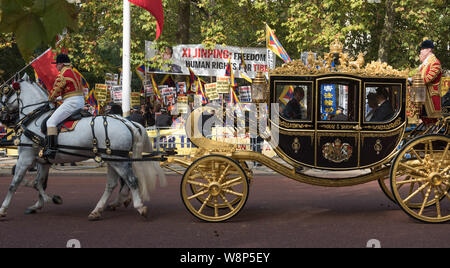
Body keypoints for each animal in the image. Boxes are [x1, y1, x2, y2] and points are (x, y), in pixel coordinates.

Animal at [0, 75, 166, 220]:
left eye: (5, 92)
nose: (2, 118)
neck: (35, 118)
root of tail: (126, 122)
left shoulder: (25, 158)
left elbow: (15, 183)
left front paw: (3, 209)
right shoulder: (42, 161)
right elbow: (38, 183)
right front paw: (40, 204)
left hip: (117, 160)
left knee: (131, 180)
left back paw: (138, 206)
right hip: (113, 159)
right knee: (113, 184)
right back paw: (99, 209)